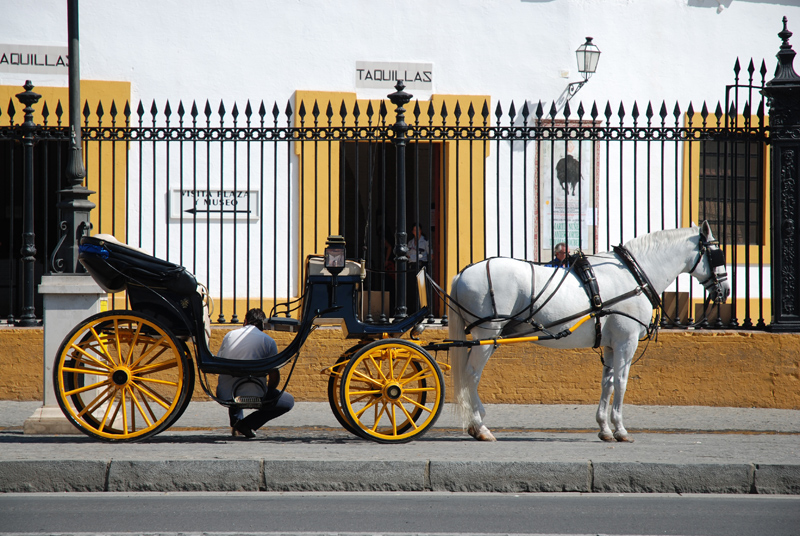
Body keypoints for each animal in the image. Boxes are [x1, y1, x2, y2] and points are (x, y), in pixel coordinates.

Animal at [446, 220, 728, 442]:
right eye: (718, 254)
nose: (724, 291)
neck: (633, 275)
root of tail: (462, 273)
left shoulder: (611, 344)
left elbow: (608, 383)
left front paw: (604, 428)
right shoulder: (626, 342)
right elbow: (622, 382)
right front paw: (620, 429)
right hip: (486, 336)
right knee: (471, 375)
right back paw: (480, 426)